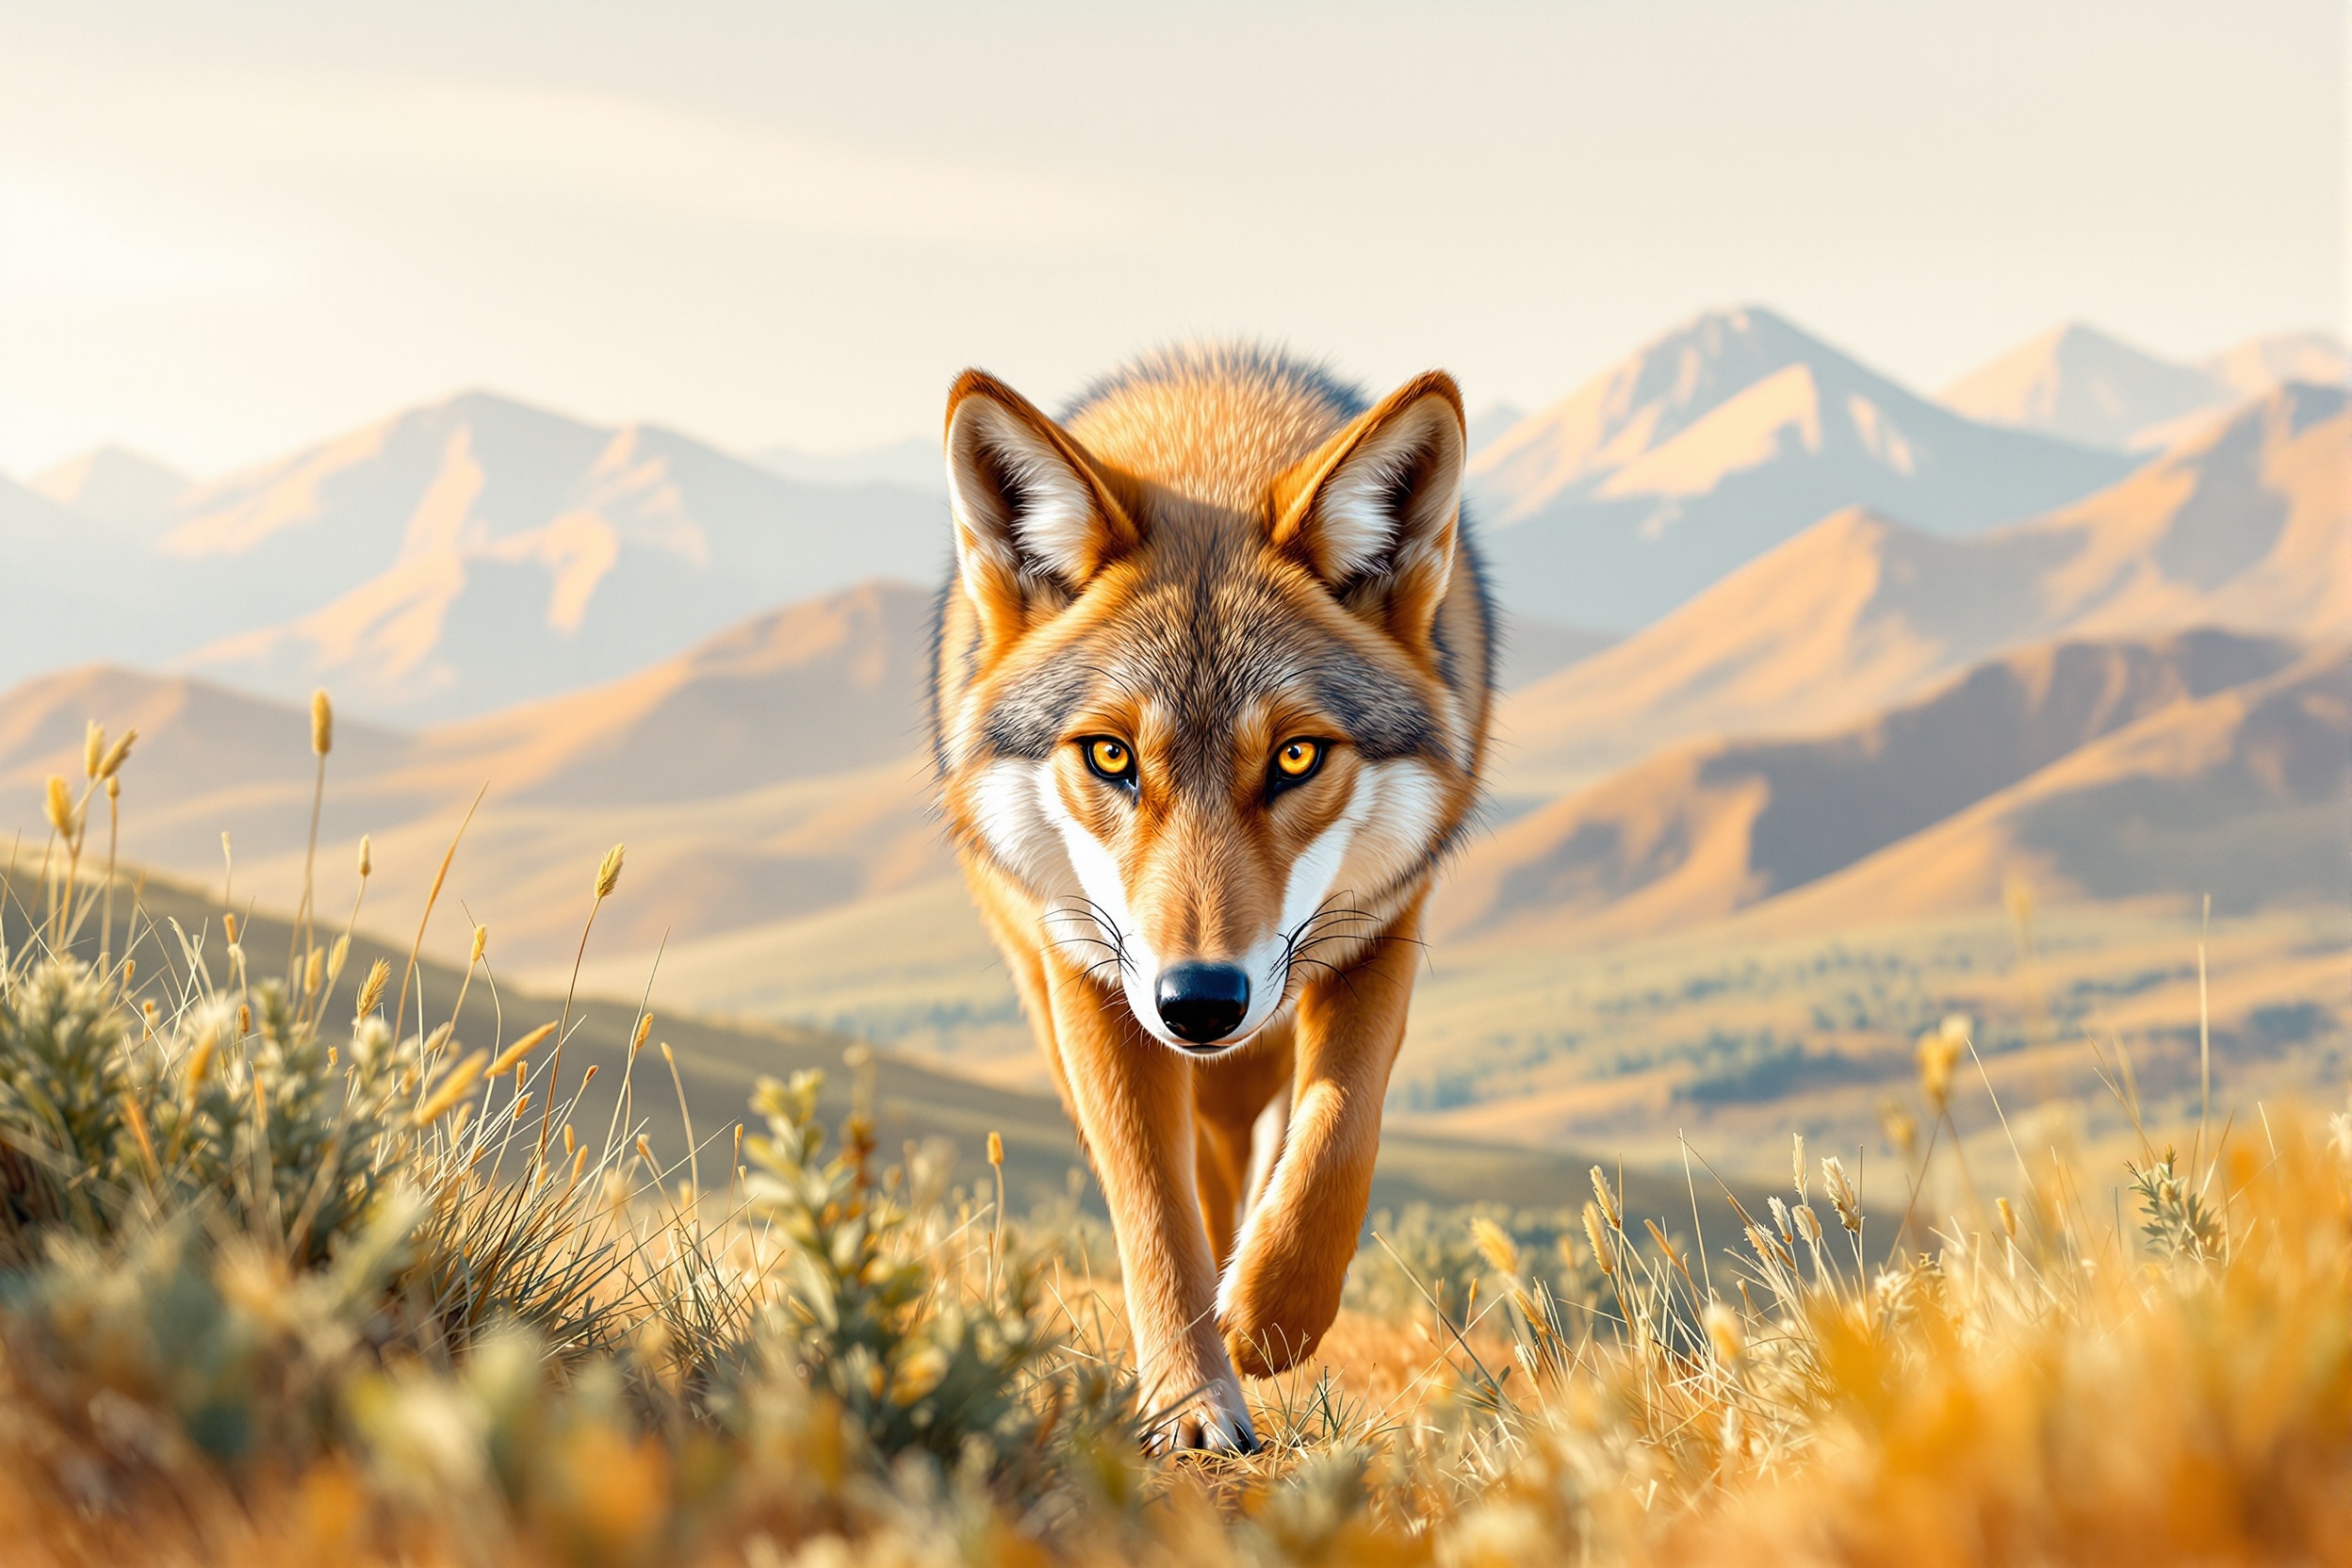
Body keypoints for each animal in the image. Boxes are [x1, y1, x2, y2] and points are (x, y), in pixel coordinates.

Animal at [928, 344, 1494, 1451]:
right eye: (1111, 755)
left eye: (1295, 756)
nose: (1198, 1002)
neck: (1213, 449)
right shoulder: (1092, 975)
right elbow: (1154, 1201)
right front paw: (1193, 1402)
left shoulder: (1383, 930)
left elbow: (1335, 1140)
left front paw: (1269, 1317)